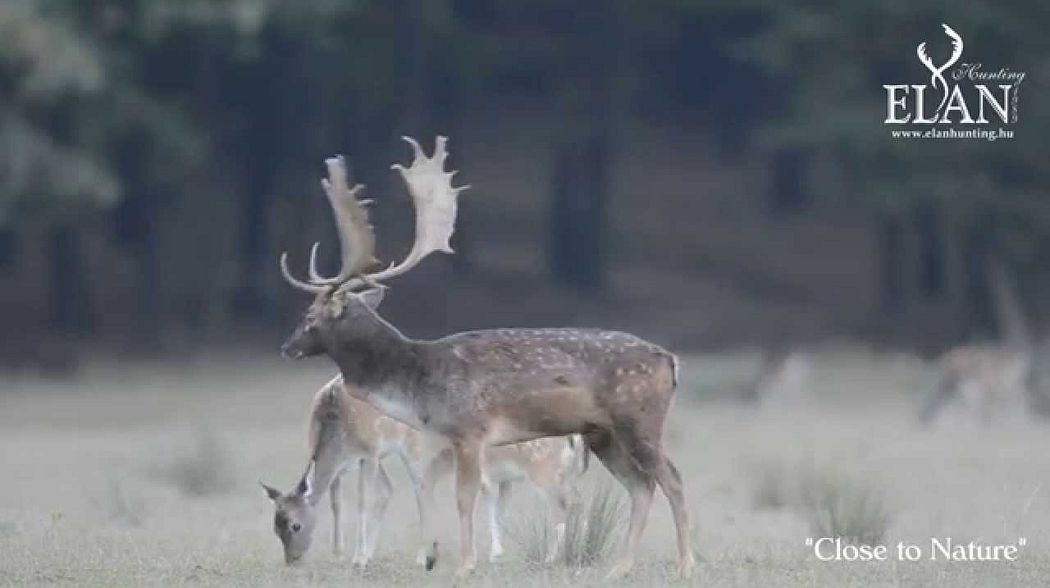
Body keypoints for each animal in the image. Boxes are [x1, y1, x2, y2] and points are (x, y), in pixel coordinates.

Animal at [277, 136, 697, 579]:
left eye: (310, 317)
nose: (287, 348)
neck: (416, 381)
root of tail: (671, 361)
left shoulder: (470, 430)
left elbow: (464, 499)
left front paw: (464, 566)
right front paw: (444, 559)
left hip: (639, 419)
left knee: (671, 478)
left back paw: (685, 564)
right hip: (602, 433)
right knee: (640, 486)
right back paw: (621, 567)